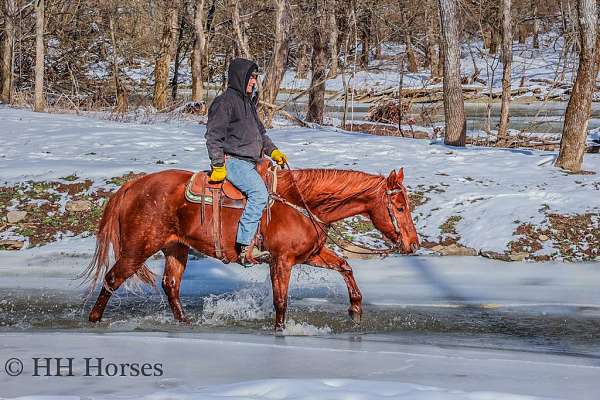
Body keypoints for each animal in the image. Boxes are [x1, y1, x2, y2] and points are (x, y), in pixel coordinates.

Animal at [84, 166, 420, 332]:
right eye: (400, 207)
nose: (412, 244)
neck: (301, 204)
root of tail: (132, 186)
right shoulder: (282, 260)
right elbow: (281, 301)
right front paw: (280, 331)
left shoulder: (310, 255)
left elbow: (345, 266)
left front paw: (355, 310)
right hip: (137, 249)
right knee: (112, 279)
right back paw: (93, 320)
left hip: (176, 249)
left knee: (171, 286)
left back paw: (185, 323)